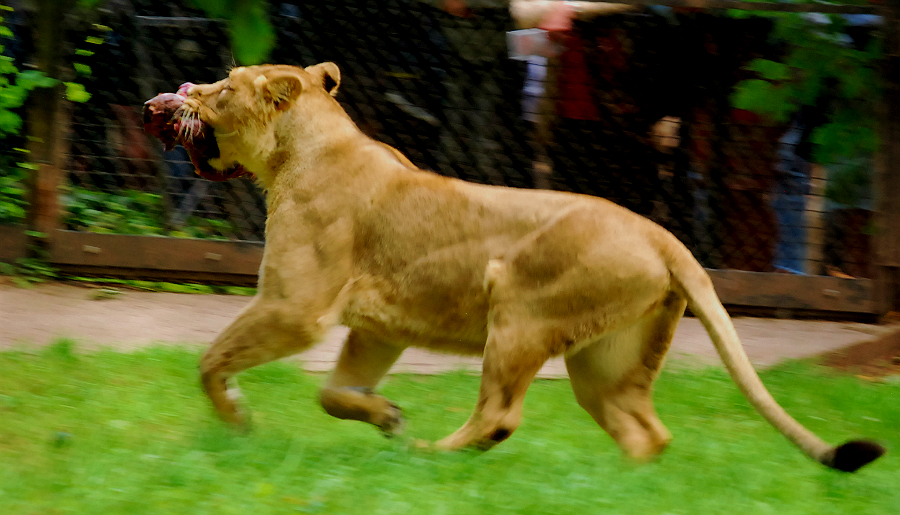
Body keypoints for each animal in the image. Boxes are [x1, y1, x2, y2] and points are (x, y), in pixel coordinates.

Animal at [143, 63, 884, 472]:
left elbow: (211, 360)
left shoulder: (296, 306)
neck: (301, 150)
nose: (173, 96)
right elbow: (334, 392)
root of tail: (664, 236)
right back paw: (619, 487)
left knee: (499, 416)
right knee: (647, 430)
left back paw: (427, 458)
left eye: (223, 87)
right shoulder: (377, 327)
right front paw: (385, 414)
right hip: (604, 361)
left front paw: (239, 423)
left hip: (520, 314)